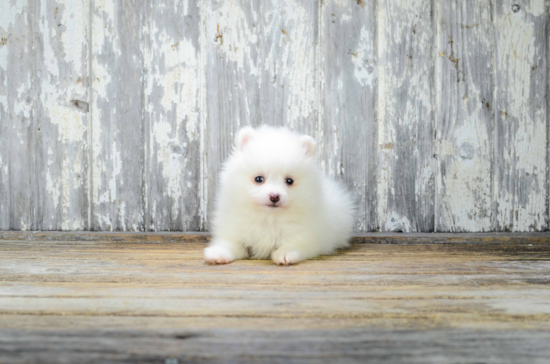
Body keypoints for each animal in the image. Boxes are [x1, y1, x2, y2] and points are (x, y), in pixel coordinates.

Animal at [205, 126, 356, 266]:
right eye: (259, 179)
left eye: (289, 181)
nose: (274, 196)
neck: (269, 218)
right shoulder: (235, 231)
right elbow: (230, 243)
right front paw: (217, 253)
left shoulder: (308, 237)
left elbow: (295, 244)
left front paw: (285, 254)